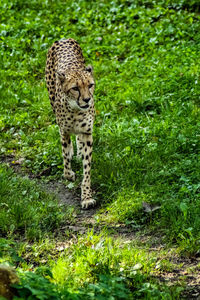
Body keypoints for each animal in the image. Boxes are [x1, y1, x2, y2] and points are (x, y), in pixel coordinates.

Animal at [45, 38, 95, 209]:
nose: (87, 99)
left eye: (90, 85)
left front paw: (86, 197)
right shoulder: (64, 131)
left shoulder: (87, 132)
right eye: (75, 88)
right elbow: (65, 155)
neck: (75, 111)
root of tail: (64, 39)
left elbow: (87, 168)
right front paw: (69, 174)